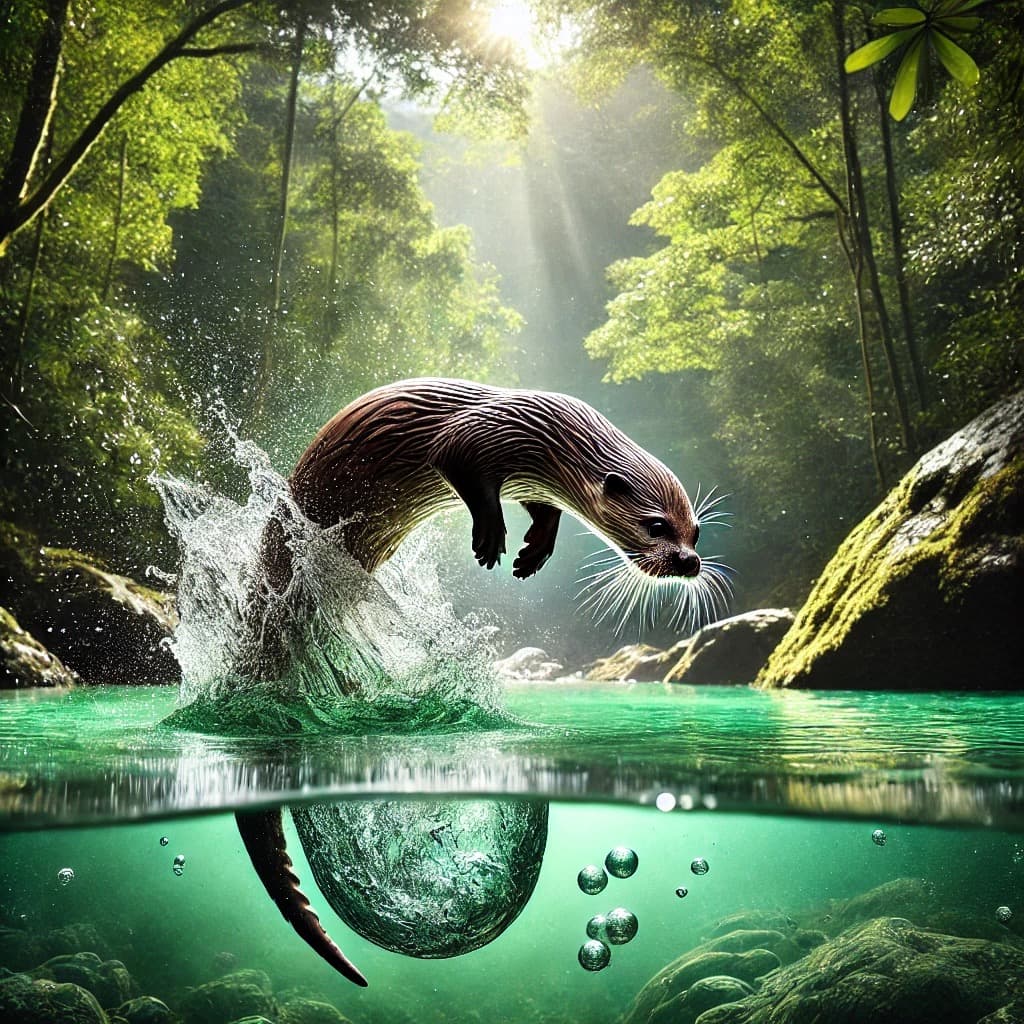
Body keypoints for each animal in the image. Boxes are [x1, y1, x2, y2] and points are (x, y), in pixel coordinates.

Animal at [238, 378, 705, 987]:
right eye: (657, 527)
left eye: (696, 529)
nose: (691, 561)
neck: (538, 437)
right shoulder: (476, 436)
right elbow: (463, 471)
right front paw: (491, 536)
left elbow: (545, 510)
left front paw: (535, 550)